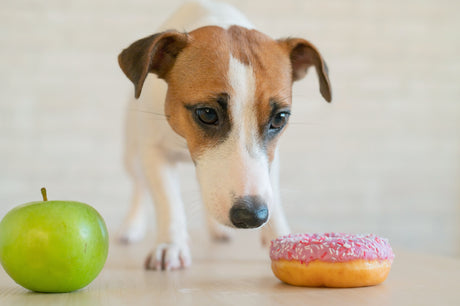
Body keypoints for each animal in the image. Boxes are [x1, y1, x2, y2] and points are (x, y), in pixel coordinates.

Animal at [115, 0, 330, 268]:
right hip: (132, 154)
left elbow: (274, 196)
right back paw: (131, 226)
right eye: (207, 113)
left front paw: (280, 235)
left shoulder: (270, 158)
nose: (252, 216)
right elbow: (168, 201)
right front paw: (171, 245)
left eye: (279, 118)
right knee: (139, 187)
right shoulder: (154, 152)